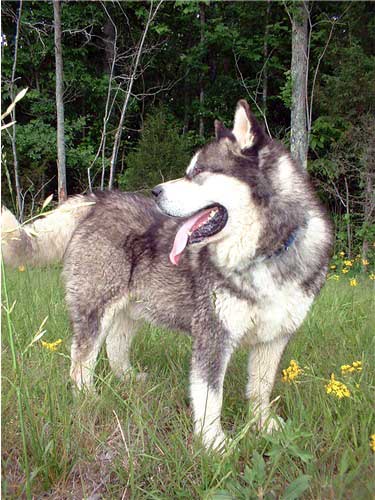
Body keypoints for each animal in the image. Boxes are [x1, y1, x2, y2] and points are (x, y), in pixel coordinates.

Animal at [2, 100, 332, 450]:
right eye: (189, 171)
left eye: (198, 174)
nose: (155, 191)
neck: (265, 253)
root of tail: (99, 198)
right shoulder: (213, 336)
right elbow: (210, 396)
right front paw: (214, 443)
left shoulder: (275, 337)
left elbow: (260, 388)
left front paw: (263, 425)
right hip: (95, 308)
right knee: (81, 360)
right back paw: (88, 398)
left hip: (132, 308)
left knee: (115, 345)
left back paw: (127, 379)